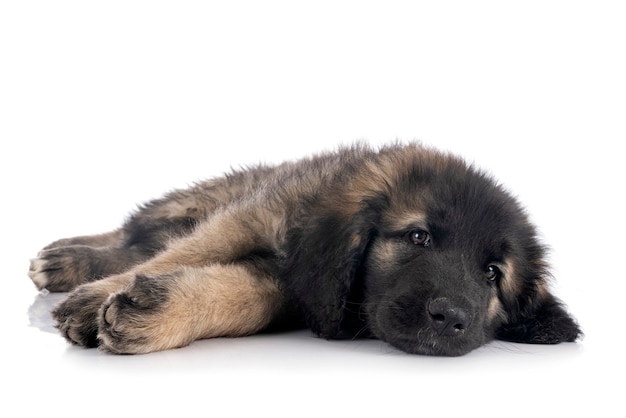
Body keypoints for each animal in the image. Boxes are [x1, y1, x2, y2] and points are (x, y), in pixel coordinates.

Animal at [28, 142, 580, 354]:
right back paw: (66, 260)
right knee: (141, 235)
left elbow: (239, 298)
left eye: (492, 273)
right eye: (418, 236)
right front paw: (90, 301)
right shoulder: (247, 217)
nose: (450, 317)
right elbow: (184, 254)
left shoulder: (292, 289)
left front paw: (159, 313)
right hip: (206, 199)